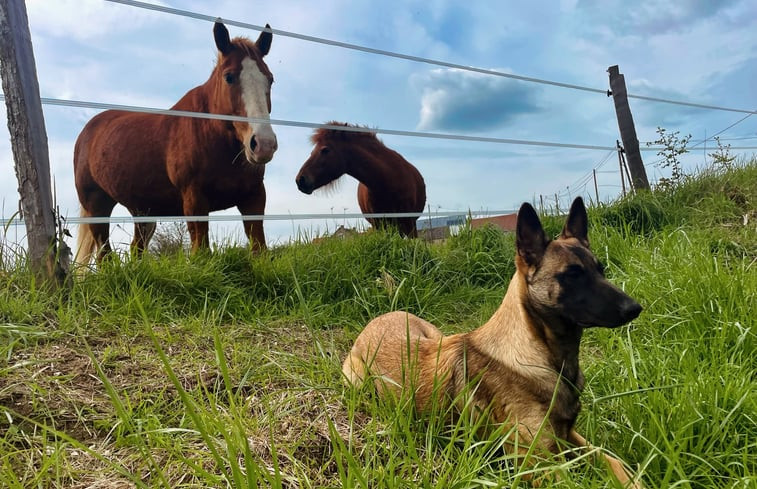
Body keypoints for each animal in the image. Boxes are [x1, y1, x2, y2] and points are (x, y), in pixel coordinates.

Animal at [74, 21, 278, 264]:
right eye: (229, 77)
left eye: (270, 79)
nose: (263, 144)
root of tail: (88, 130)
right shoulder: (194, 199)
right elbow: (201, 252)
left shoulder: (254, 197)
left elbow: (260, 251)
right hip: (97, 206)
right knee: (104, 254)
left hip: (143, 212)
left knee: (135, 249)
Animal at [344, 196, 644, 486]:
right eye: (572, 275)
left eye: (600, 269)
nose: (635, 308)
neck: (540, 355)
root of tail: (379, 318)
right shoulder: (538, 462)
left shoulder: (570, 437)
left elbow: (614, 462)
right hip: (357, 381)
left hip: (437, 335)